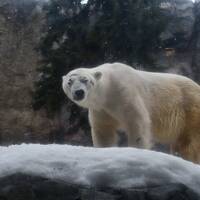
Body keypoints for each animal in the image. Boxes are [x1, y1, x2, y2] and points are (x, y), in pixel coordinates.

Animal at [62, 63, 200, 163]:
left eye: (85, 80)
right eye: (69, 82)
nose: (79, 92)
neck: (108, 90)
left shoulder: (125, 93)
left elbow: (137, 122)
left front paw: (136, 151)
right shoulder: (101, 109)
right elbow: (104, 130)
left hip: (190, 109)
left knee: (191, 142)